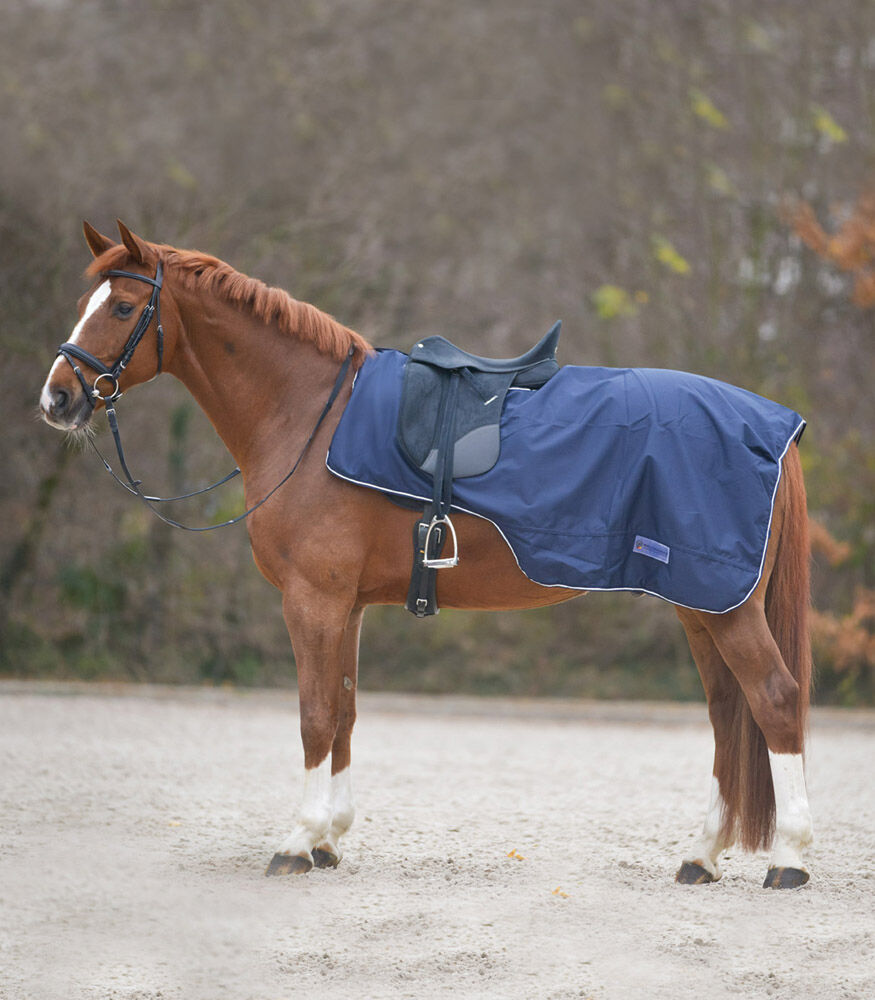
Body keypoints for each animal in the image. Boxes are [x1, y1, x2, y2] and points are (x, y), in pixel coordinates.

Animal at [39, 220, 814, 889]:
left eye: (124, 306)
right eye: (83, 304)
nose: (57, 398)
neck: (308, 415)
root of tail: (772, 426)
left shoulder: (313, 600)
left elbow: (314, 715)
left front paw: (297, 841)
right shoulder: (345, 605)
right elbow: (344, 711)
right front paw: (329, 839)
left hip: (724, 606)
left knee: (773, 700)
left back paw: (790, 858)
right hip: (698, 603)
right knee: (727, 713)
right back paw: (702, 854)